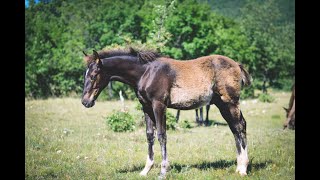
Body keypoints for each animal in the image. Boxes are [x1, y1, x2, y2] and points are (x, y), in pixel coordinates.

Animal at [81, 47, 251, 177]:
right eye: (85, 75)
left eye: (93, 75)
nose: (85, 102)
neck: (146, 72)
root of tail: (237, 64)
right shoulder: (146, 107)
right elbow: (150, 135)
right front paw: (145, 170)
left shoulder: (159, 105)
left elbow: (162, 135)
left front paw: (163, 171)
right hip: (222, 105)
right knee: (235, 128)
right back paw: (238, 167)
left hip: (230, 102)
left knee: (239, 126)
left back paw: (243, 168)